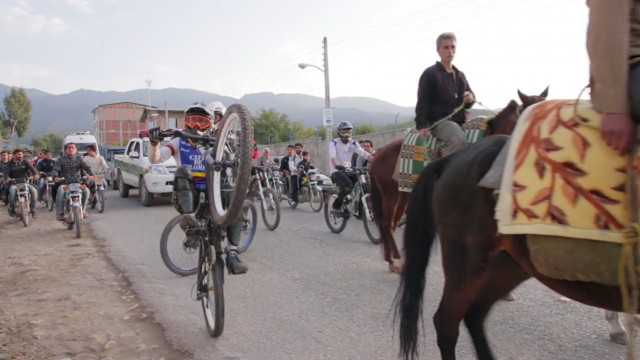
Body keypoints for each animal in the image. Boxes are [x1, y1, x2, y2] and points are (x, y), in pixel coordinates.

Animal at [368, 88, 548, 272]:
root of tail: (379, 152)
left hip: (402, 194)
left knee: (390, 223)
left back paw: (391, 260)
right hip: (391, 194)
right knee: (386, 222)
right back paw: (396, 259)